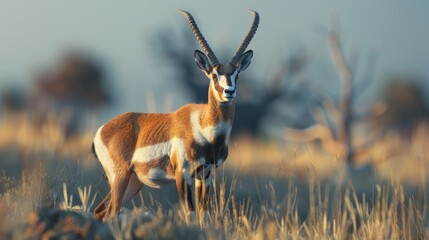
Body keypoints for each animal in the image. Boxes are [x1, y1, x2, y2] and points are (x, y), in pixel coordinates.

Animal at [93, 10, 258, 222]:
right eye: (214, 75)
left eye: (236, 75)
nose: (229, 92)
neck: (204, 125)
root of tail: (102, 130)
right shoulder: (183, 174)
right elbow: (190, 214)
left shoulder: (205, 174)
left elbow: (203, 215)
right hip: (120, 176)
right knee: (111, 212)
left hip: (134, 182)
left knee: (101, 211)